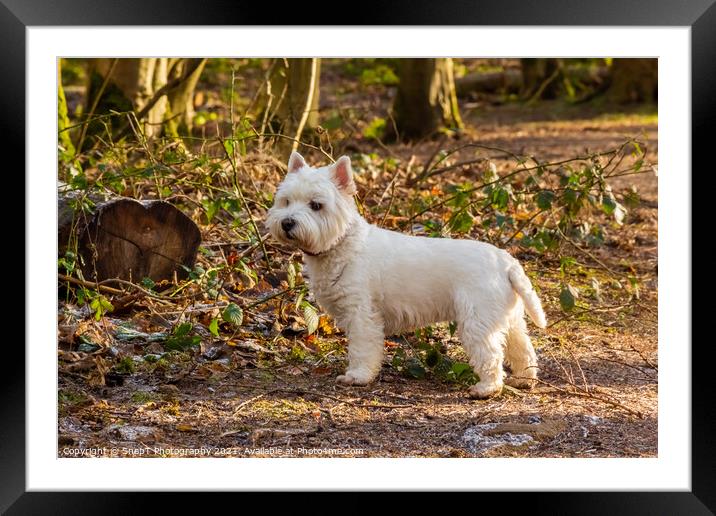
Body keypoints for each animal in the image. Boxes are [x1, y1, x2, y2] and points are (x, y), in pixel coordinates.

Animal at [266, 151, 544, 398]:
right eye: (286, 201)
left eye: (316, 205)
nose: (287, 223)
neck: (342, 243)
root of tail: (506, 262)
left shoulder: (361, 314)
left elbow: (362, 348)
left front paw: (358, 376)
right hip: (510, 318)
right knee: (523, 349)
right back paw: (524, 380)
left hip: (478, 319)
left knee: (491, 354)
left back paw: (486, 389)